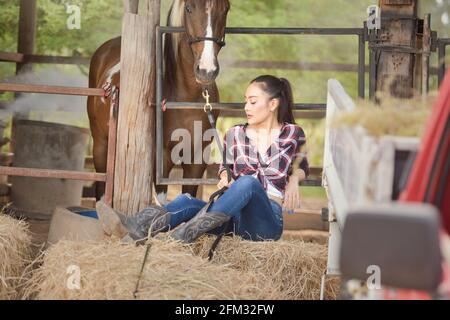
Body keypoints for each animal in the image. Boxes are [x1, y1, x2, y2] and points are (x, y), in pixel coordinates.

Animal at [87, 0, 230, 201]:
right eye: (189, 8)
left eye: (225, 9)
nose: (206, 70)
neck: (185, 97)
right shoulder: (161, 159)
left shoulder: (197, 158)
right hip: (100, 144)